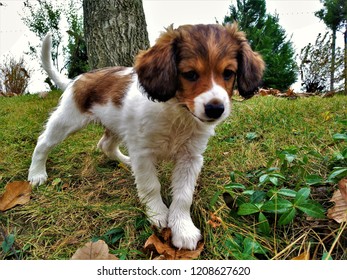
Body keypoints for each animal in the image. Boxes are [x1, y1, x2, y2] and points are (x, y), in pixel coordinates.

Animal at [28, 24, 266, 249]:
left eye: (228, 73)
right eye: (190, 74)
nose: (216, 109)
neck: (177, 112)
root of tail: (77, 79)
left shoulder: (190, 157)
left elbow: (183, 196)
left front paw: (183, 228)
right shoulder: (143, 153)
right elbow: (151, 186)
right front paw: (158, 214)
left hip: (118, 126)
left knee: (105, 144)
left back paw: (125, 161)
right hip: (68, 119)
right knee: (43, 143)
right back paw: (37, 173)